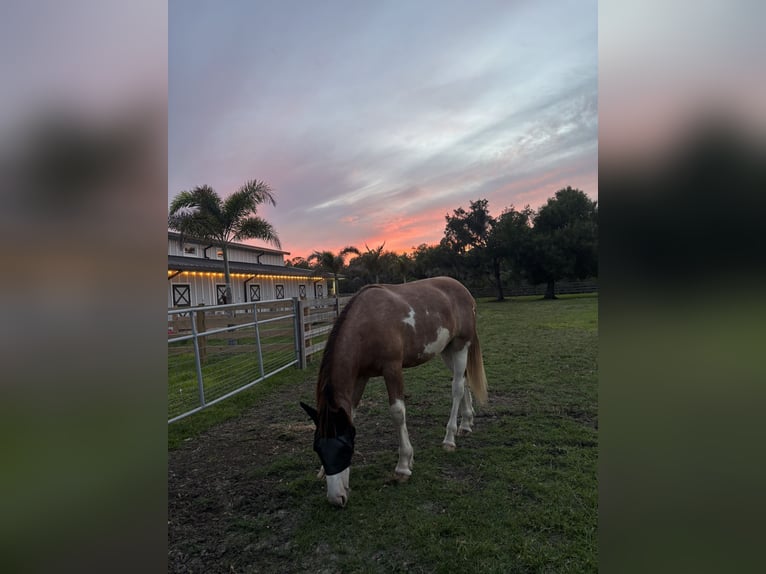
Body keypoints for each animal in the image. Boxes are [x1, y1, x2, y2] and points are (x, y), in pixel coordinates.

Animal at [300, 276, 488, 507]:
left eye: (344, 448)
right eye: (318, 448)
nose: (336, 499)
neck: (368, 323)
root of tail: (463, 290)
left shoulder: (392, 370)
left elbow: (398, 413)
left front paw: (403, 466)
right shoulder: (361, 376)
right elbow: (351, 412)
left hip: (461, 345)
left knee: (457, 388)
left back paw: (450, 438)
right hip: (447, 349)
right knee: (464, 380)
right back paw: (466, 424)